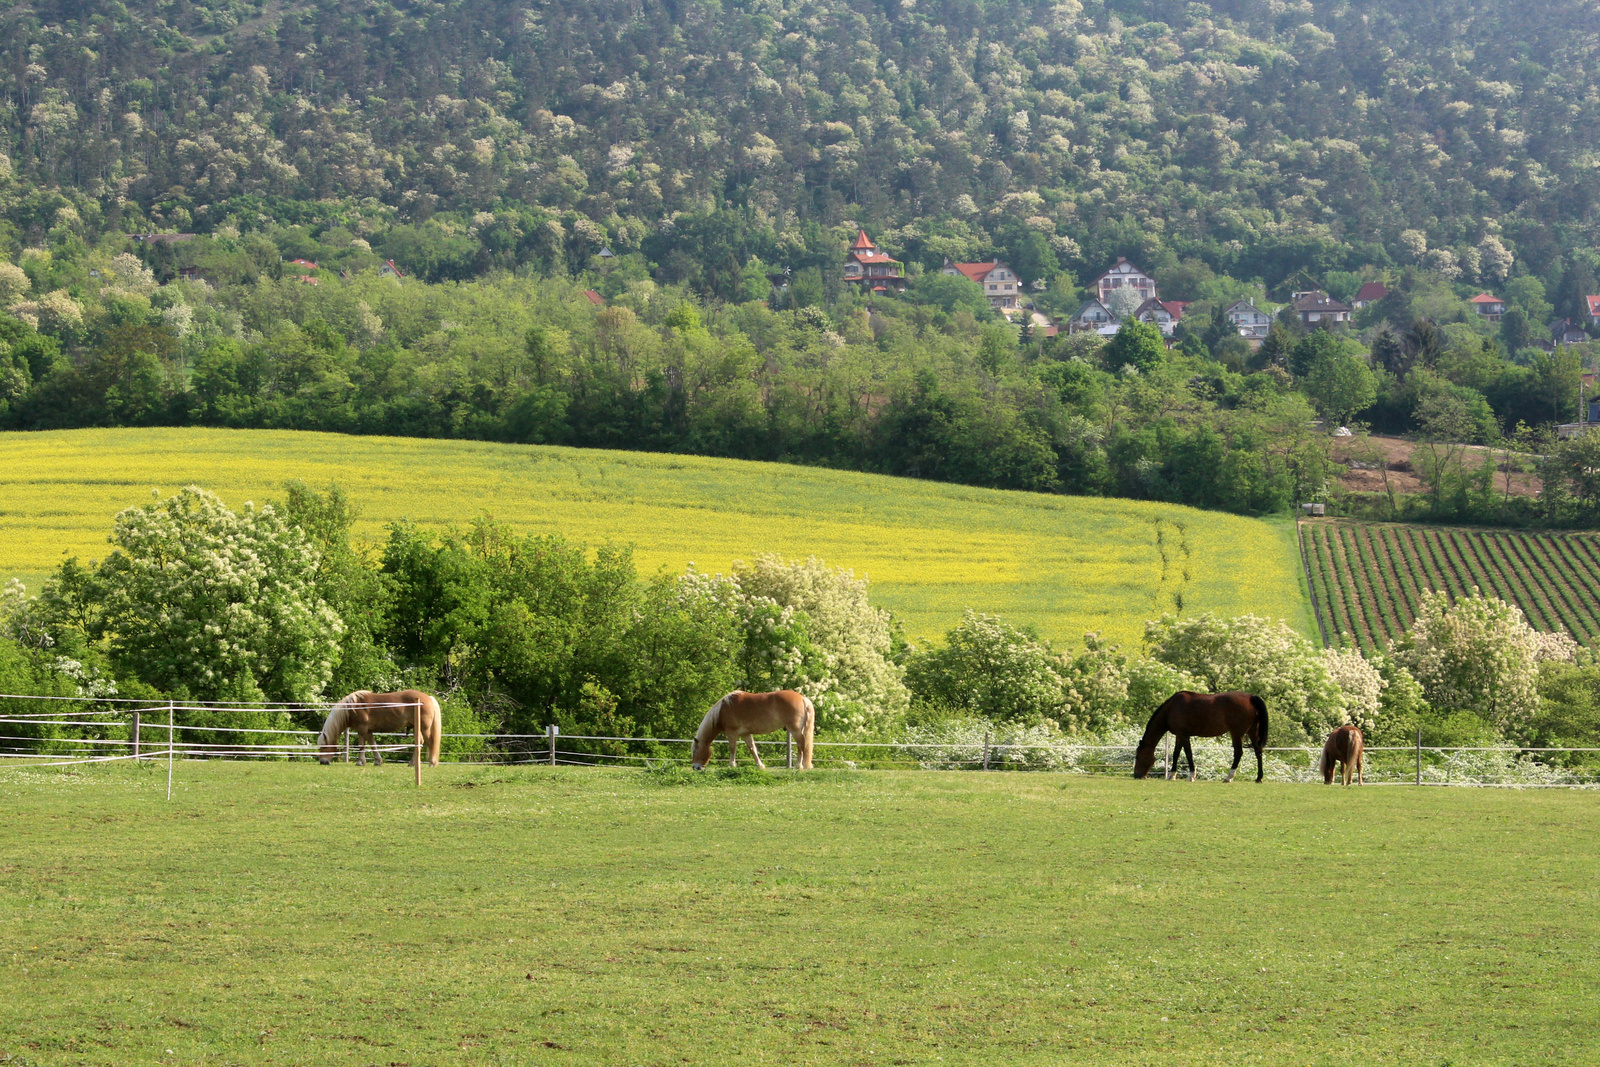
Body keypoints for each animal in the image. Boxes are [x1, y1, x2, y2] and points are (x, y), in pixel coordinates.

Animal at [1132, 694, 1267, 783]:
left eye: (1137, 756)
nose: (1136, 775)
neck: (1171, 709)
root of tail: (1250, 697)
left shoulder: (1184, 735)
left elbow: (1188, 754)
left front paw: (1191, 776)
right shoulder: (1179, 736)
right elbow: (1176, 754)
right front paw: (1172, 775)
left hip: (1237, 733)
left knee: (1238, 753)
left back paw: (1228, 777)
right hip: (1252, 731)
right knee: (1258, 751)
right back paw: (1259, 778)